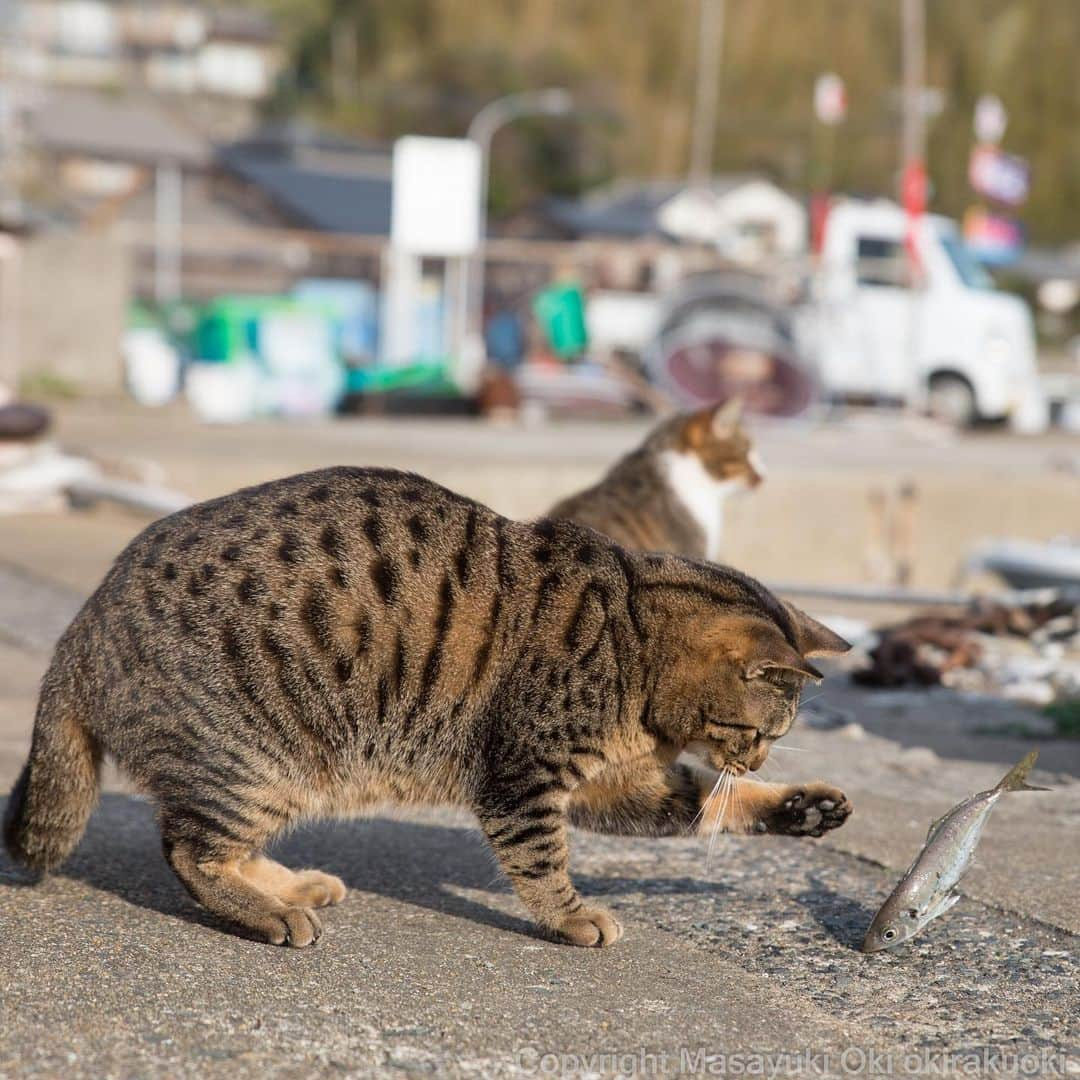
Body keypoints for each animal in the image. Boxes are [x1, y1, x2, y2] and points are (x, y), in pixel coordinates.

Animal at [6, 464, 851, 946]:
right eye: (757, 730)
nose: (757, 758)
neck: (633, 649)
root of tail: (82, 628)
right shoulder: (525, 775)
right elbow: (542, 860)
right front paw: (571, 916)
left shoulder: (619, 783)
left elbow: (706, 807)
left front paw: (801, 806)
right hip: (251, 755)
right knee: (190, 850)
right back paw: (272, 915)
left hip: (286, 772)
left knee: (222, 846)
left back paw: (288, 885)